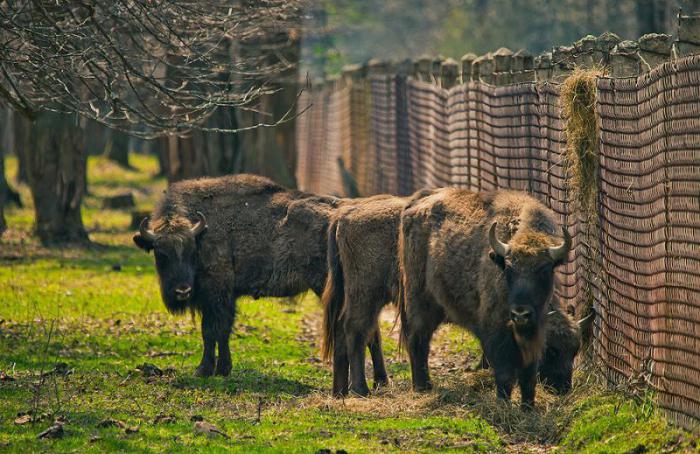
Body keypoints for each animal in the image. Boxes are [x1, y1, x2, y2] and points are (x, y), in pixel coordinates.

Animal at [396, 188, 572, 408]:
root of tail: (418, 200)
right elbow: (504, 372)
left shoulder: (535, 332)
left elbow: (528, 374)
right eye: (509, 268)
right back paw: (423, 386)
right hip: (419, 300)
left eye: (545, 269)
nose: (520, 313)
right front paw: (503, 404)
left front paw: (528, 407)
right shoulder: (496, 330)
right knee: (418, 339)